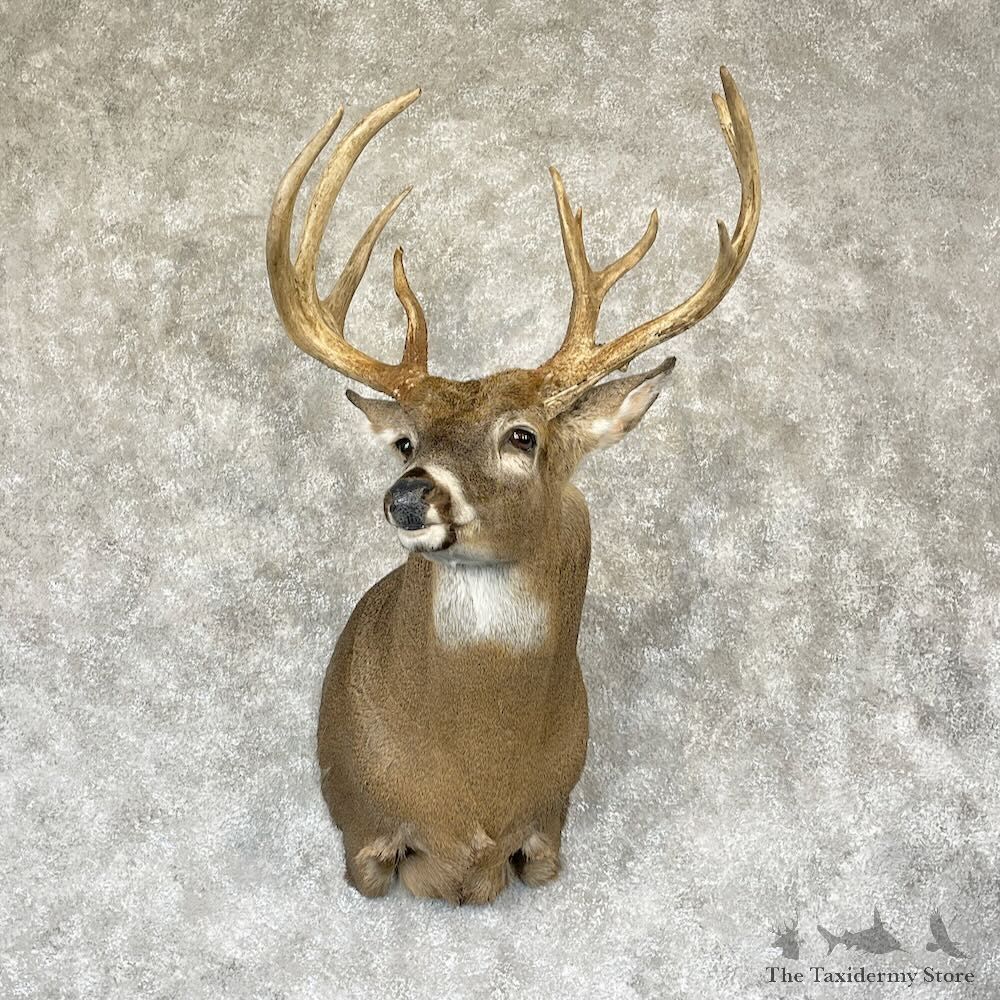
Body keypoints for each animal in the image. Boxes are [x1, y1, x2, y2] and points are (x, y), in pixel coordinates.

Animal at [266, 67, 760, 904]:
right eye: (407, 440)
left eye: (523, 436)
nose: (407, 496)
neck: (475, 791)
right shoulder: (362, 830)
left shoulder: (550, 828)